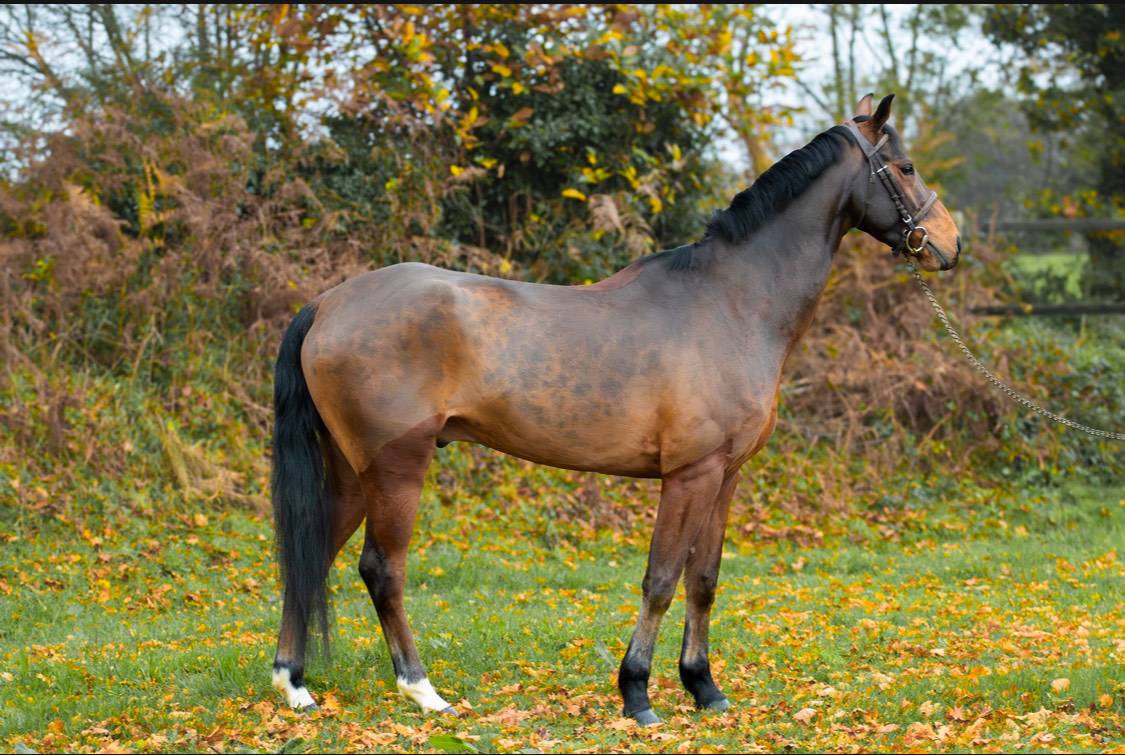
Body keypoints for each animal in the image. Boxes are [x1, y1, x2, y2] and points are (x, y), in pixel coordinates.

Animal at [269, 93, 961, 725]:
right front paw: (638, 694)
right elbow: (661, 579)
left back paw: (294, 685)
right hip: (396, 469)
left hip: (352, 473)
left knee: (311, 556)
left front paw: (704, 688)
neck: (730, 303)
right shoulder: (689, 476)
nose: (950, 245)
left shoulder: (725, 477)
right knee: (381, 570)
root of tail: (328, 304)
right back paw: (423, 691)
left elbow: (703, 580)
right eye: (904, 167)